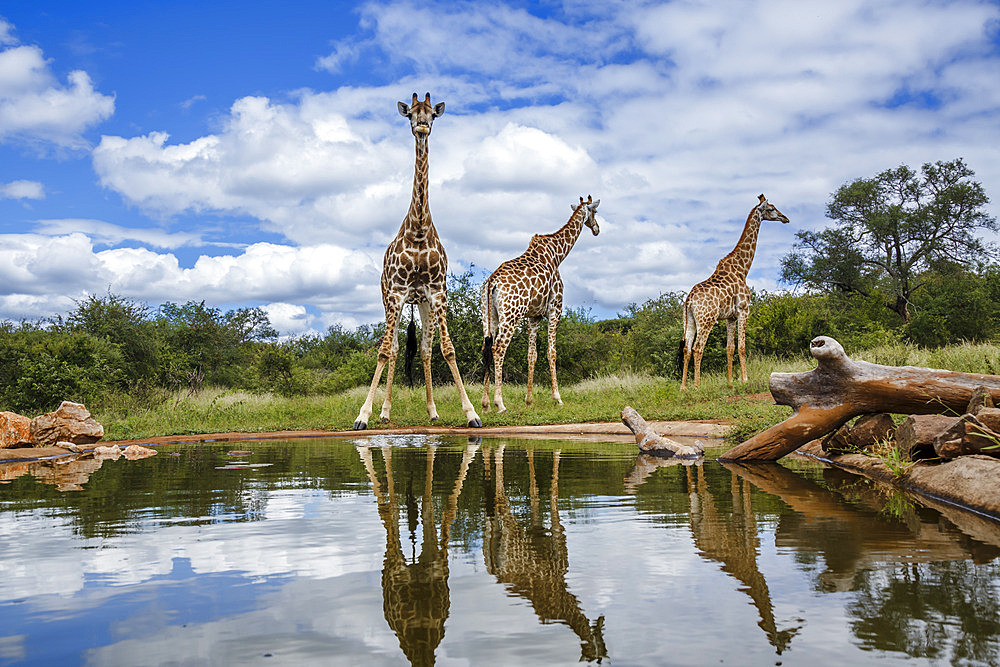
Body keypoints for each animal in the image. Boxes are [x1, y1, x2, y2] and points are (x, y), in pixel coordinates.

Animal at [354, 92, 482, 428]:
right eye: (411, 113)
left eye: (432, 115)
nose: (422, 127)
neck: (419, 231)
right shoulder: (398, 292)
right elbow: (384, 351)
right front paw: (363, 415)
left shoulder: (437, 292)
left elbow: (446, 350)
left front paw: (471, 413)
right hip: (389, 298)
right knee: (396, 349)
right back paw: (384, 412)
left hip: (421, 303)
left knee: (423, 349)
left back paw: (432, 411)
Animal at [478, 194, 596, 412]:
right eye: (595, 211)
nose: (596, 228)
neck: (558, 255)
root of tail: (492, 283)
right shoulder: (555, 308)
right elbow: (551, 352)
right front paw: (557, 398)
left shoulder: (534, 316)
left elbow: (531, 354)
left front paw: (529, 400)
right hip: (511, 316)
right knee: (498, 348)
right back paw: (500, 404)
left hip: (488, 316)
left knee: (486, 348)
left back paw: (485, 404)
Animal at [480, 444, 604, 664]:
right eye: (599, 647)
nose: (601, 621)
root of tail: (497, 569)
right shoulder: (558, 539)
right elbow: (553, 491)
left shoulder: (536, 529)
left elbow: (534, 492)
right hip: (511, 531)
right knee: (501, 496)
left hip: (489, 536)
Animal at [680, 193, 788, 388]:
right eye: (771, 208)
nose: (785, 218)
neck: (742, 268)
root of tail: (689, 300)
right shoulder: (744, 310)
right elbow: (742, 347)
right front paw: (745, 379)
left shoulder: (730, 317)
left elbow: (729, 348)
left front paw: (730, 382)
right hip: (707, 320)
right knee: (698, 348)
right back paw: (697, 386)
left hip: (690, 320)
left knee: (687, 348)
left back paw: (683, 387)